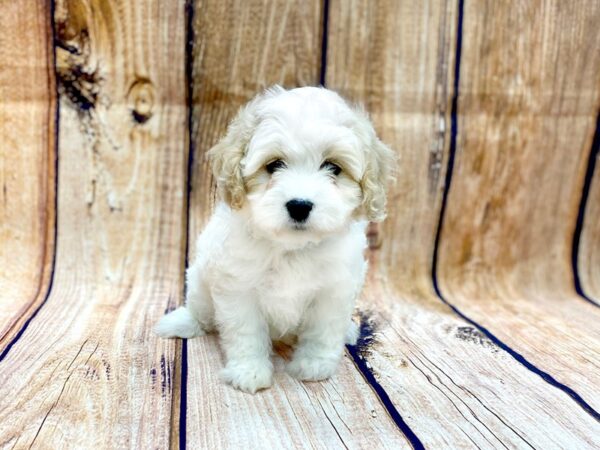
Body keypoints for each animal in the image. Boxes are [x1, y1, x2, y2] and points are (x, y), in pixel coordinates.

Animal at [155, 86, 394, 392]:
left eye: (333, 167)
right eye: (274, 165)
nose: (300, 205)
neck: (292, 247)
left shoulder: (334, 290)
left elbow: (323, 331)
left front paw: (314, 365)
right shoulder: (238, 288)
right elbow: (246, 333)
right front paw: (249, 371)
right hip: (199, 280)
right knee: (201, 310)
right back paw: (184, 322)